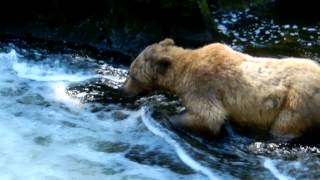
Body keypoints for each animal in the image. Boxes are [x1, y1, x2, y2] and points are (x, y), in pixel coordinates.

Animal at [121, 38, 320, 139]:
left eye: (132, 74)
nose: (123, 90)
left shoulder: (201, 85)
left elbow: (210, 117)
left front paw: (164, 117)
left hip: (296, 103)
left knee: (284, 127)